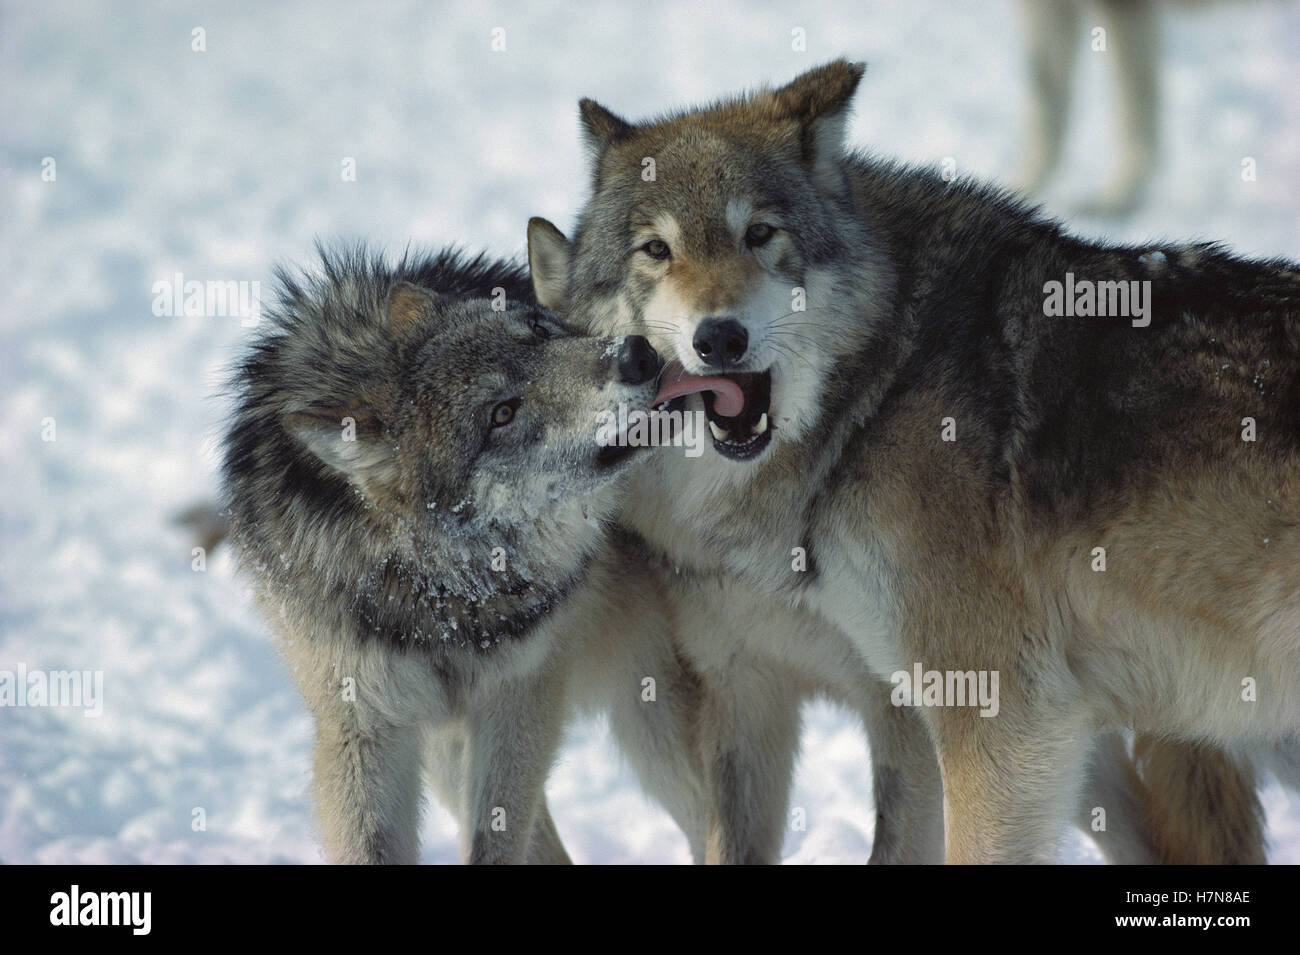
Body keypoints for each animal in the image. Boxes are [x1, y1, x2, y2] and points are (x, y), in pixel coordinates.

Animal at [226, 248, 712, 867]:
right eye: (501, 414)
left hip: (651, 714)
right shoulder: (364, 725)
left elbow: (497, 839)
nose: (636, 354)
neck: (440, 595)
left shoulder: (522, 692)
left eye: (537, 331)